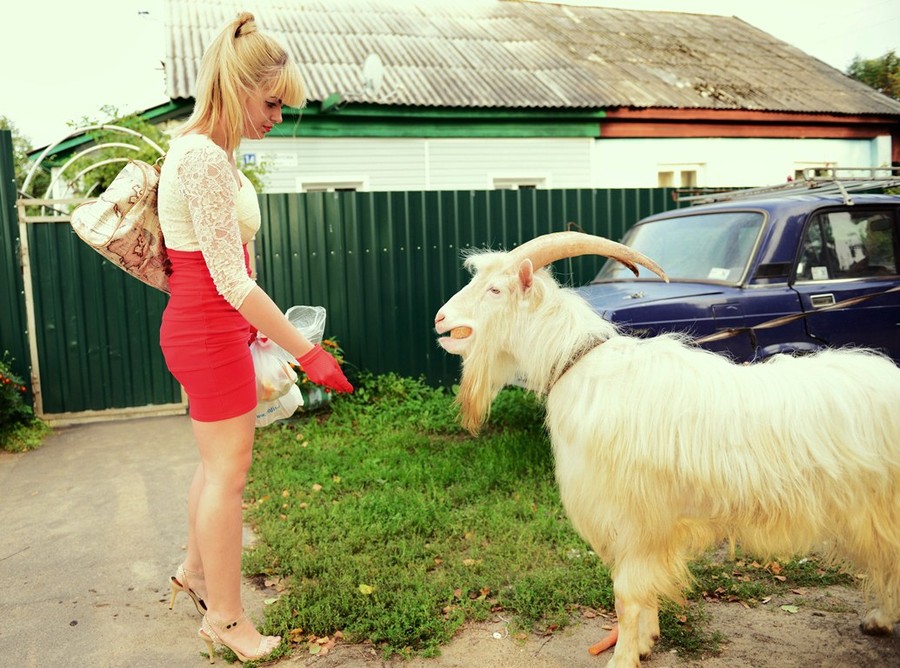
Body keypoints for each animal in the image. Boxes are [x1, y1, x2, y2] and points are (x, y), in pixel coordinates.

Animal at [434, 232, 900, 664]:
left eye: (495, 290)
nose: (440, 319)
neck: (579, 364)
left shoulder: (636, 517)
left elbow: (626, 595)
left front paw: (622, 657)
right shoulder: (647, 528)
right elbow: (643, 591)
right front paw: (645, 643)